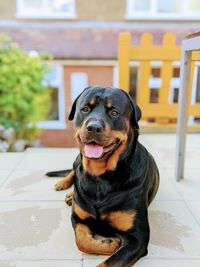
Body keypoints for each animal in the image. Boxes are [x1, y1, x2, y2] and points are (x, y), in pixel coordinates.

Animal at [46, 86, 159, 267]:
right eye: (85, 109)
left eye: (114, 112)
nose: (93, 127)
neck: (100, 177)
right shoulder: (78, 218)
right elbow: (81, 241)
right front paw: (111, 243)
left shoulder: (138, 237)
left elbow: (110, 261)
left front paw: (112, 243)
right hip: (77, 159)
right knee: (74, 170)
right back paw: (65, 186)